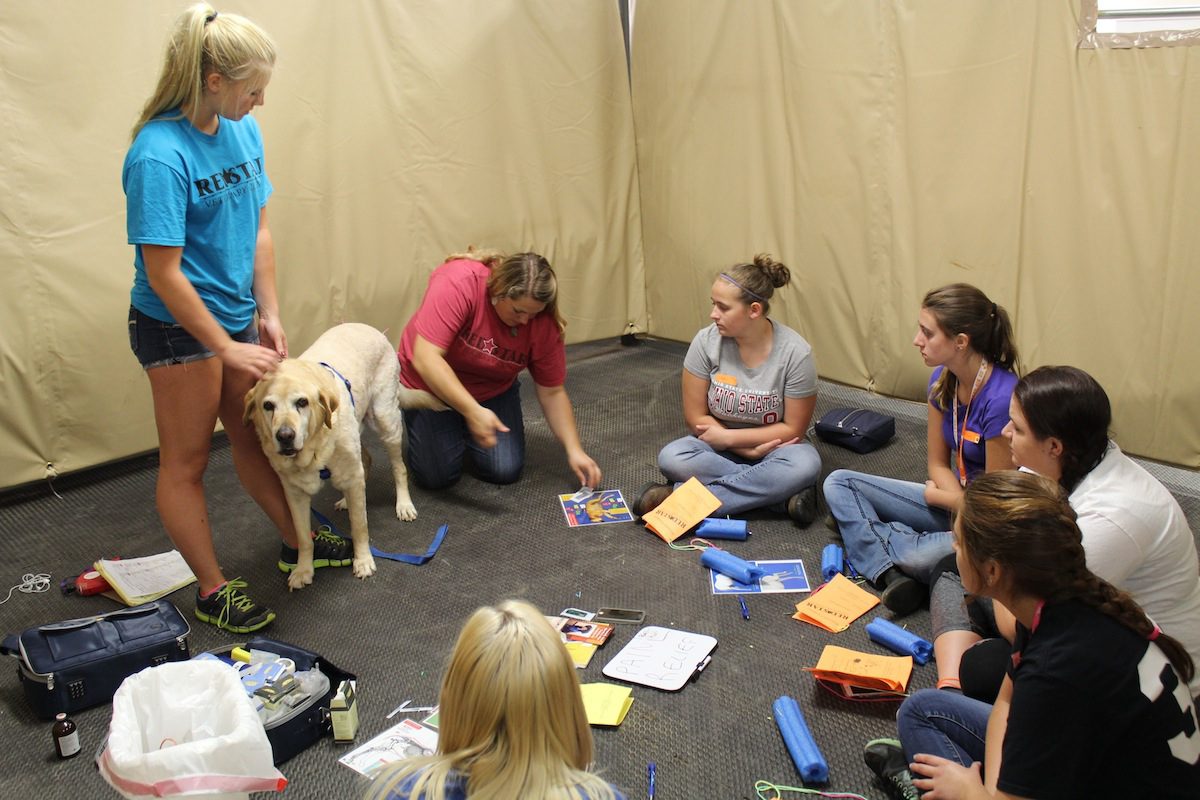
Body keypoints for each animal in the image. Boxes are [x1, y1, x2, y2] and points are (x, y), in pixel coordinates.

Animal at [243, 322, 443, 590]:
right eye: (268, 406)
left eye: (302, 402)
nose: (285, 436)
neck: (313, 451)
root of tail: (374, 330)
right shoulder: (294, 493)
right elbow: (303, 537)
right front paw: (303, 569)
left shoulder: (351, 477)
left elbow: (360, 527)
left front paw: (363, 561)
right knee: (365, 460)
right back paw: (348, 500)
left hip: (385, 419)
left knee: (398, 468)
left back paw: (404, 505)